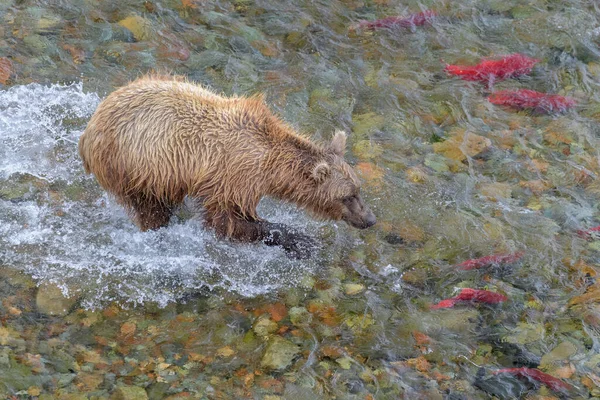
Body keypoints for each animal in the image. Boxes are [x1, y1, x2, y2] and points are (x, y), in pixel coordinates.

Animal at [79, 74, 376, 258]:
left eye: (358, 190)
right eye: (347, 196)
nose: (370, 219)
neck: (271, 165)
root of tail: (89, 129)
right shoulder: (233, 176)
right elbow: (228, 222)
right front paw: (299, 240)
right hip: (135, 166)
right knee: (151, 209)